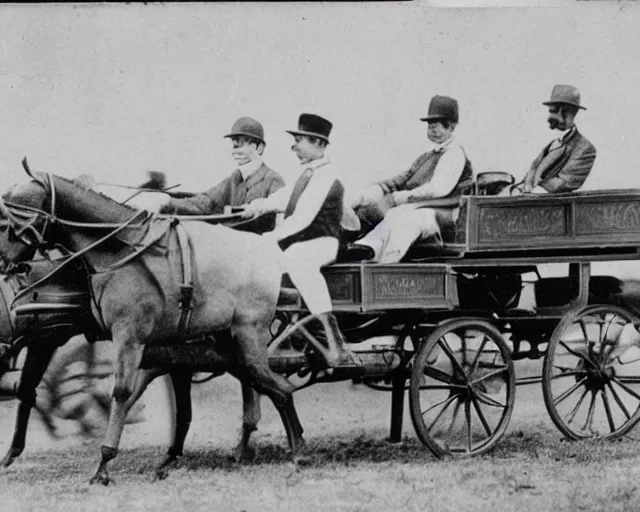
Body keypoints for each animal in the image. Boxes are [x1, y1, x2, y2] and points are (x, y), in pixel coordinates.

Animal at [0, 167, 304, 484]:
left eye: (19, 212)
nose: (5, 261)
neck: (119, 250)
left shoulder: (128, 338)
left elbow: (122, 392)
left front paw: (103, 463)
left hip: (248, 338)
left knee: (278, 388)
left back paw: (294, 451)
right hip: (228, 347)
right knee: (264, 388)